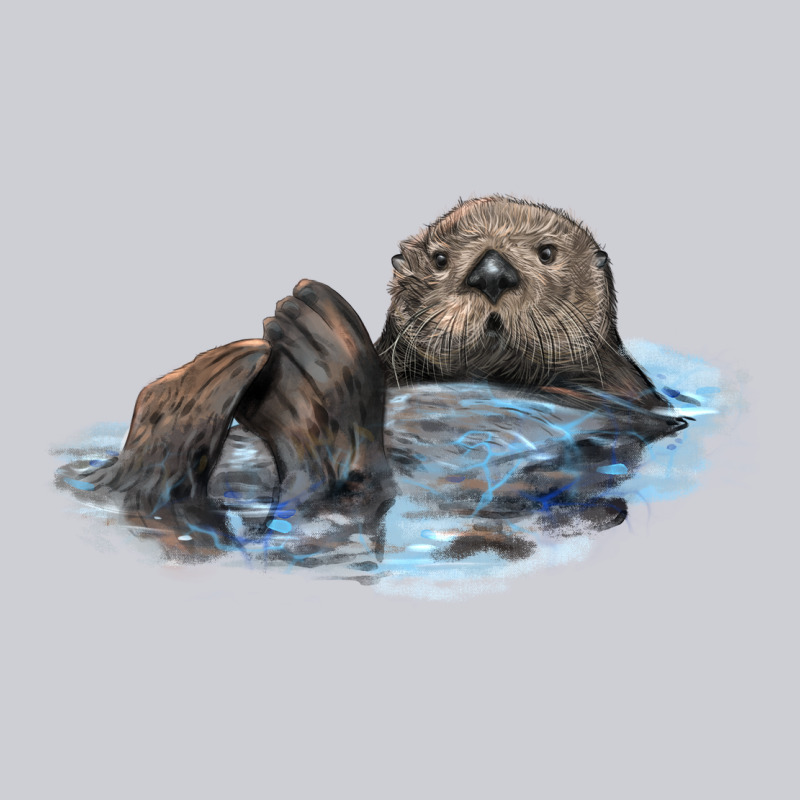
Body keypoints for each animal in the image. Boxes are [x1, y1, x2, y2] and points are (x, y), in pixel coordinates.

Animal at [78, 196, 673, 509]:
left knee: (340, 476)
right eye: (440, 259)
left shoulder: (622, 390)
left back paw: (305, 347)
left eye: (547, 253)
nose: (491, 274)